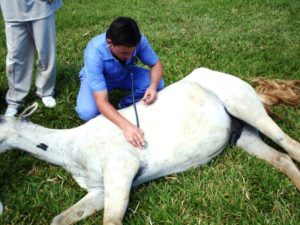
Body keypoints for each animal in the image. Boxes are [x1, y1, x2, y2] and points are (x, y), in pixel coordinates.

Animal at [0, 67, 300, 225]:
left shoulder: (121, 173)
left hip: (247, 109)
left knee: (290, 145)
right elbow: (59, 219)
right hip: (243, 135)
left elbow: (111, 221)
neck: (74, 148)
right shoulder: (99, 191)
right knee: (282, 158)